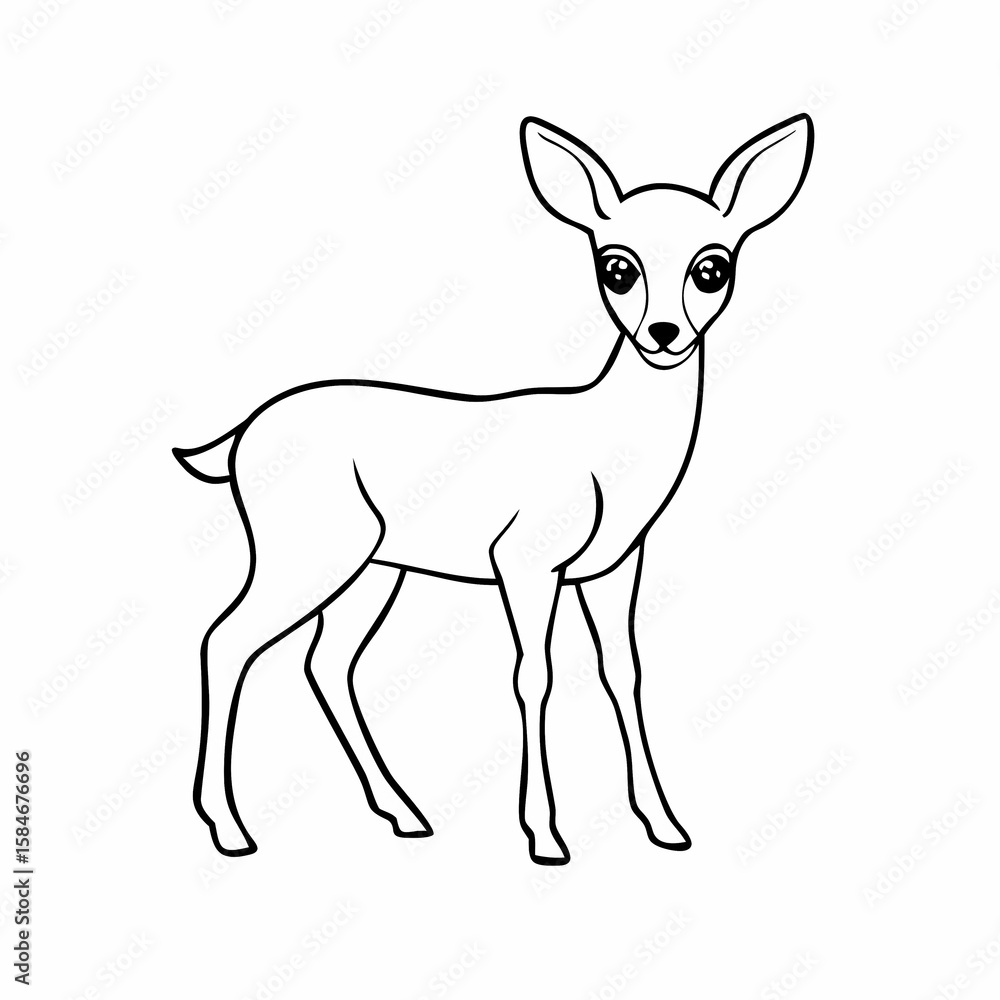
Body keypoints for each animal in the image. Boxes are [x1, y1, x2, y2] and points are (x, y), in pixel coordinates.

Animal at [175, 114, 814, 865]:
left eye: (713, 266)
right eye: (617, 266)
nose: (664, 333)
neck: (608, 443)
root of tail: (242, 434)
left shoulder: (615, 566)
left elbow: (623, 672)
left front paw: (665, 825)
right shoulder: (526, 560)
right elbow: (534, 674)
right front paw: (545, 835)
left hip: (374, 568)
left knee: (325, 662)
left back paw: (404, 812)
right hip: (304, 552)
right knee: (225, 640)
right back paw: (230, 828)